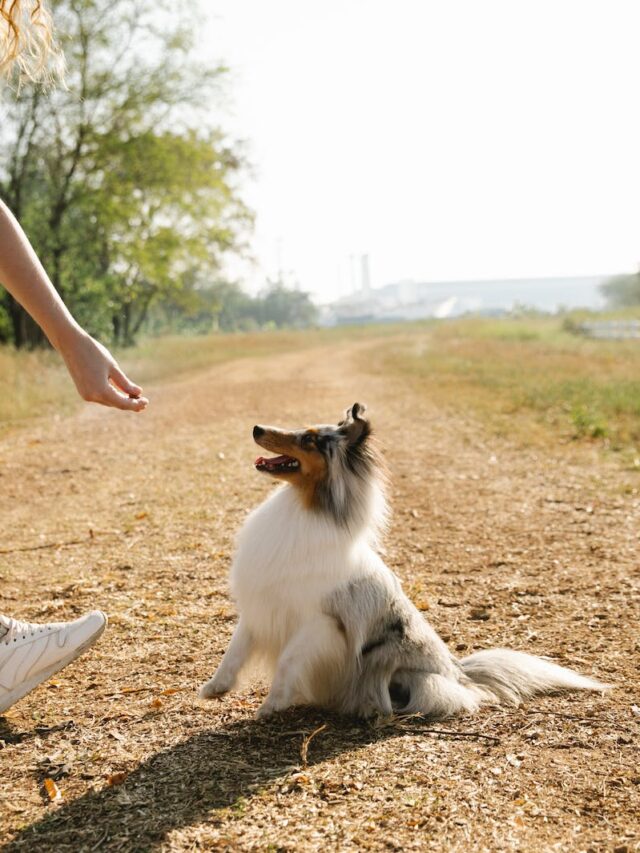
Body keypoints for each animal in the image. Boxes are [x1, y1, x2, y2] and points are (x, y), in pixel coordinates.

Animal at [199, 402, 604, 716]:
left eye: (310, 440)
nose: (257, 428)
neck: (304, 508)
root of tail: (459, 673)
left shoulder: (320, 623)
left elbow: (286, 662)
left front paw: (271, 706)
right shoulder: (261, 602)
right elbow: (235, 649)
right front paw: (216, 687)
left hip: (398, 667)